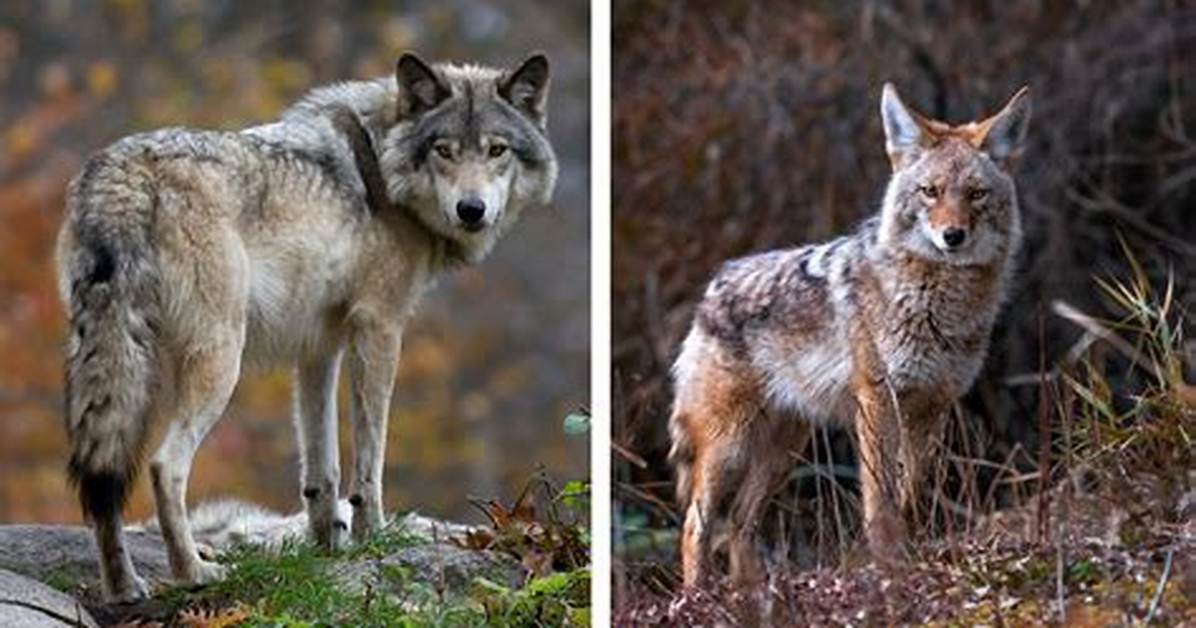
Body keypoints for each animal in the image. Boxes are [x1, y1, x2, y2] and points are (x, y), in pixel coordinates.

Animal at [56, 51, 557, 602]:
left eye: (496, 150)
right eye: (444, 151)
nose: (472, 210)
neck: (382, 167)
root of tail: (122, 172)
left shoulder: (318, 348)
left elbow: (322, 468)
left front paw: (326, 549)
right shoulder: (380, 328)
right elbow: (369, 459)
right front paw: (371, 538)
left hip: (115, 364)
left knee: (103, 480)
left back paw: (124, 587)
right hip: (219, 361)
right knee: (165, 465)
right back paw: (194, 572)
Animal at [669, 84, 1031, 586]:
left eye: (975, 194)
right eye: (930, 192)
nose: (952, 236)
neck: (940, 302)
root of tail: (712, 289)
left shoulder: (932, 407)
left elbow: (909, 490)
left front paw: (907, 550)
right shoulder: (877, 400)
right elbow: (879, 498)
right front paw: (887, 562)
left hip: (784, 451)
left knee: (740, 526)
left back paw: (750, 594)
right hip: (730, 447)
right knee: (695, 525)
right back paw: (700, 594)